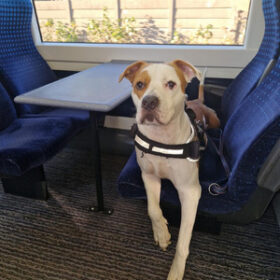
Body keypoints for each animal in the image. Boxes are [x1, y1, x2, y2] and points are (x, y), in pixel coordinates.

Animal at [119, 60, 218, 278]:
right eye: (140, 85)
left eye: (171, 84)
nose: (149, 102)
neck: (161, 139)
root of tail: (197, 101)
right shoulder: (148, 176)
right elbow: (153, 208)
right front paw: (162, 233)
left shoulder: (190, 192)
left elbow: (183, 241)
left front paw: (176, 271)